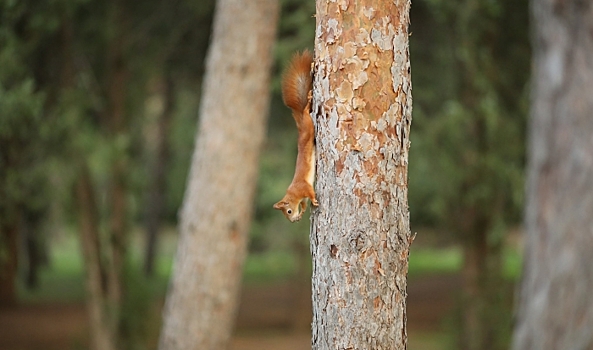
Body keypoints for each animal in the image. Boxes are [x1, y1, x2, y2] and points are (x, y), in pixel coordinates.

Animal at [274, 51, 320, 221]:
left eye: (288, 211)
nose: (293, 221)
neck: (293, 193)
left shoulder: (304, 187)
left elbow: (311, 192)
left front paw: (315, 200)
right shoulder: (303, 198)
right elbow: (305, 204)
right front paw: (302, 213)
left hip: (308, 127)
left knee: (306, 112)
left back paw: (308, 104)